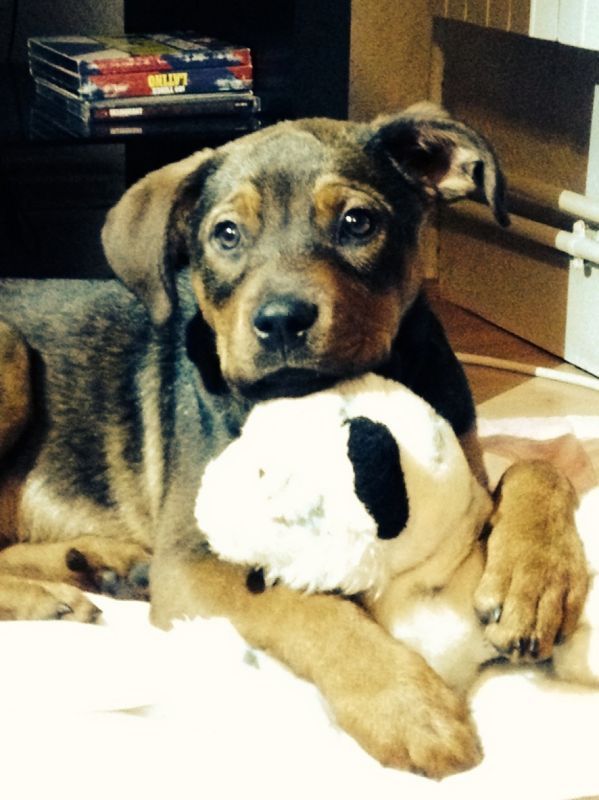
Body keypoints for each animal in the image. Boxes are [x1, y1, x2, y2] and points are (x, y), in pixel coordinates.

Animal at [0, 103, 588, 778]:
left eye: (357, 223)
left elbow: (536, 469)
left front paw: (533, 584)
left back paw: (97, 567)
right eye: (227, 234)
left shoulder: (467, 466)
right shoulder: (195, 565)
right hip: (10, 352)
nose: (282, 321)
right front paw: (409, 708)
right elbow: (304, 605)